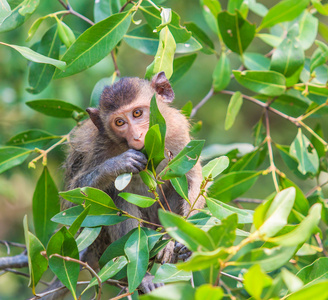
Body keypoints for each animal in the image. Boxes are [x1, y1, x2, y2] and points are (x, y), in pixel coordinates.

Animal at [62, 72, 204, 292]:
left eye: (138, 113)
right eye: (120, 122)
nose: (137, 136)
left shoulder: (177, 129)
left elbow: (193, 180)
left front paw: (186, 237)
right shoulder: (98, 147)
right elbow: (74, 205)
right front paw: (117, 164)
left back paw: (169, 243)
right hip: (102, 245)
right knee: (115, 196)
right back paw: (142, 277)